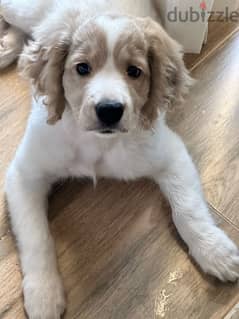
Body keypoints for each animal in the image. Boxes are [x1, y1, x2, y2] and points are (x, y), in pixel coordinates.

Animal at [1, 0, 239, 319]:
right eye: (82, 68)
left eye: (134, 72)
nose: (109, 109)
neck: (97, 143)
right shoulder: (23, 175)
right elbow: (36, 236)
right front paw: (43, 293)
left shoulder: (171, 153)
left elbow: (188, 209)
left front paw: (214, 250)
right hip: (23, 9)